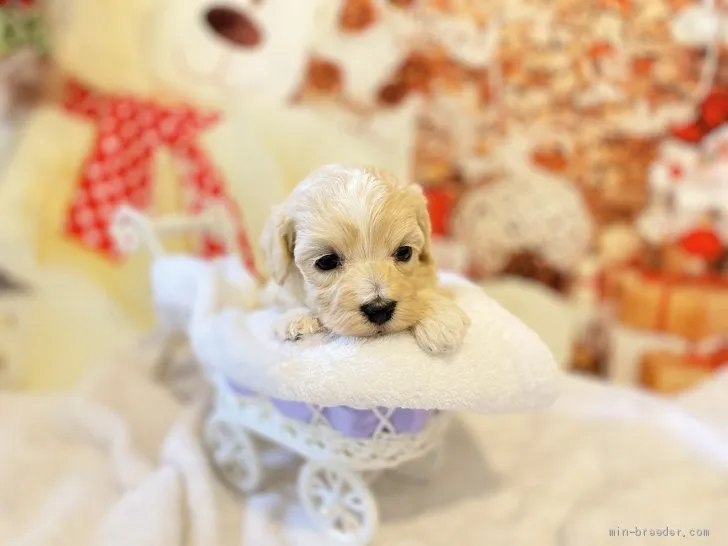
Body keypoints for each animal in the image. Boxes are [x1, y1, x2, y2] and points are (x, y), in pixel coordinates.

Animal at [258, 164, 470, 354]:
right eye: (326, 261)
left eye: (404, 252)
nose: (380, 309)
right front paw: (296, 318)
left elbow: (426, 289)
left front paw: (441, 319)